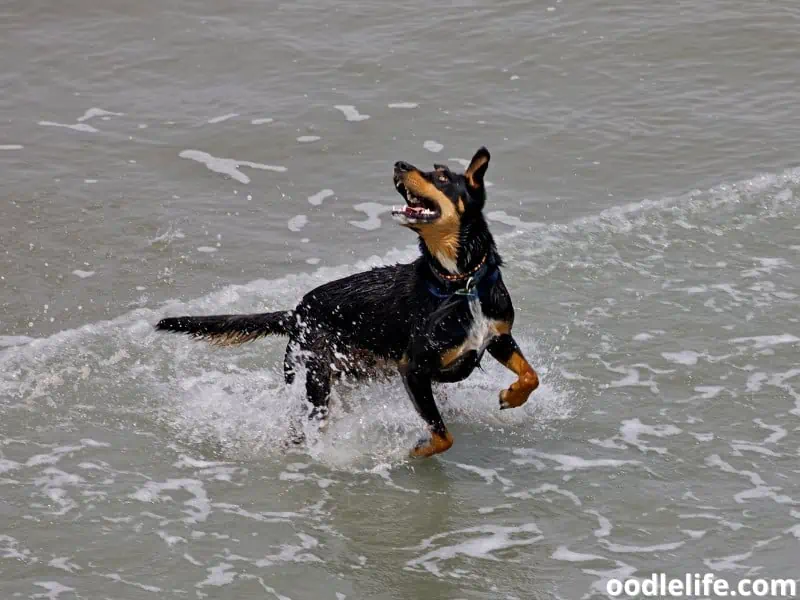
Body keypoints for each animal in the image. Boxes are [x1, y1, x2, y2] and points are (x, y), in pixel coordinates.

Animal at [155, 148, 536, 458]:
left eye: (442, 176)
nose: (400, 164)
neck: (458, 283)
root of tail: (296, 312)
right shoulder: (412, 368)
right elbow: (442, 435)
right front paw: (418, 449)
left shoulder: (498, 337)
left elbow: (530, 375)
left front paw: (511, 395)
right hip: (314, 378)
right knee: (306, 422)